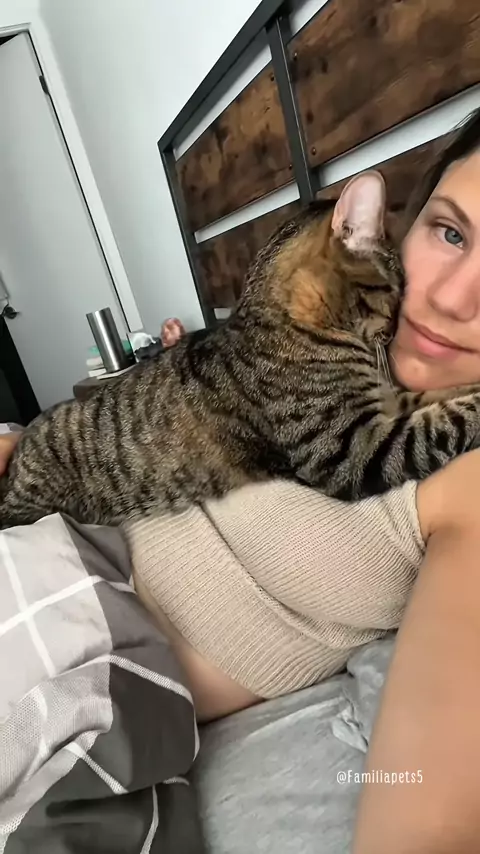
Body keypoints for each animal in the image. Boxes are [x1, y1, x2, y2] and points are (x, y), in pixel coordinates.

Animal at [1, 169, 480, 528]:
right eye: (397, 290)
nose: (396, 330)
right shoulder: (347, 451)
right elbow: (442, 425)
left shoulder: (387, 402)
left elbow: (431, 399)